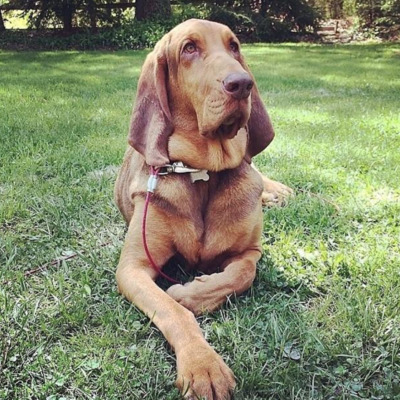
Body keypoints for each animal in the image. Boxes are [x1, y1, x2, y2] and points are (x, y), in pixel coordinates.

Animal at [114, 18, 292, 400]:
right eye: (189, 48)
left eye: (234, 46)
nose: (242, 83)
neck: (203, 174)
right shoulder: (133, 267)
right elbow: (171, 310)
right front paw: (202, 365)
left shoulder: (251, 251)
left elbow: (242, 273)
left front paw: (191, 293)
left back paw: (277, 191)